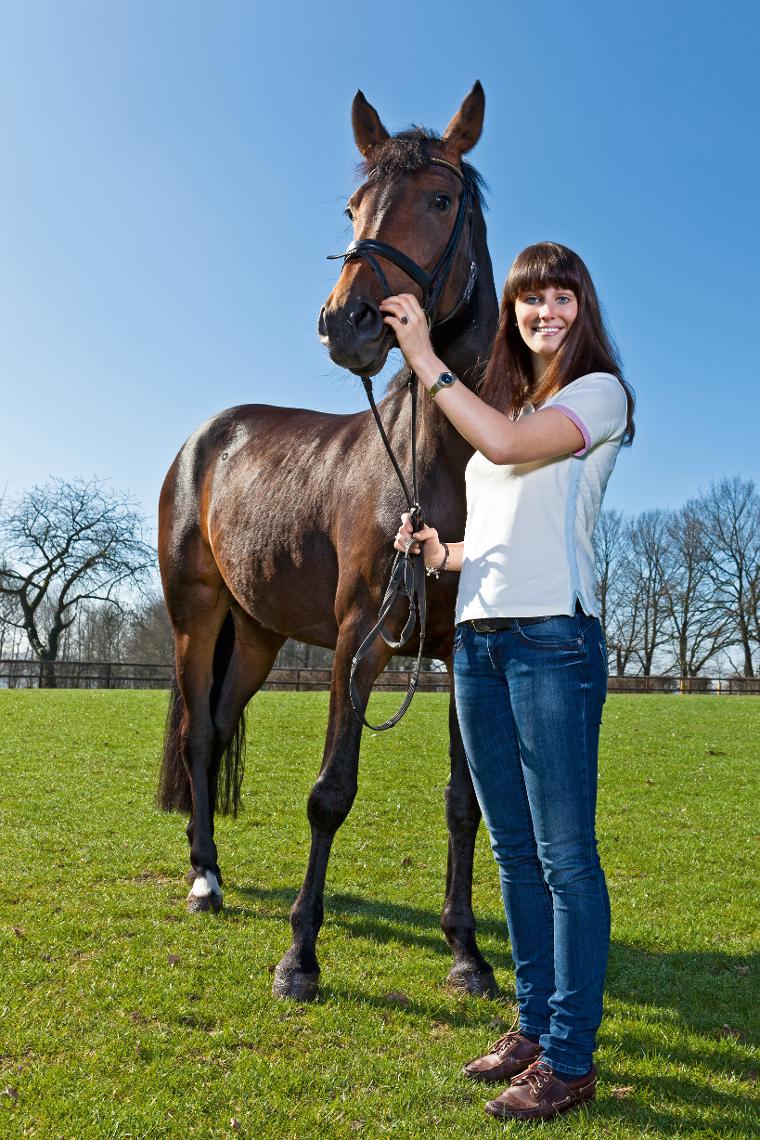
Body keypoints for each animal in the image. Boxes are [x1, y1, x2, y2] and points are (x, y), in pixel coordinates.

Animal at [157, 82, 500, 1002]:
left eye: (442, 199)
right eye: (353, 206)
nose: (346, 322)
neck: (436, 461)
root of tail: (205, 439)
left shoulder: (463, 646)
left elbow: (464, 801)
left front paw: (466, 951)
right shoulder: (358, 641)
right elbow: (330, 793)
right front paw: (300, 957)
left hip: (259, 636)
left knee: (217, 727)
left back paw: (210, 864)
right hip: (197, 618)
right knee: (197, 736)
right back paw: (204, 879)